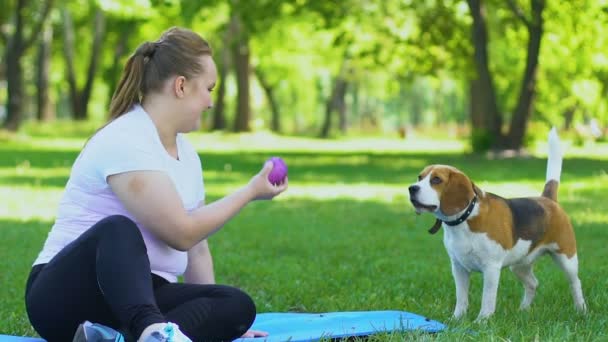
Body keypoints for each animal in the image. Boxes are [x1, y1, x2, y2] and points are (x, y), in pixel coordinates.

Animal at [408, 129, 584, 320]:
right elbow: (461, 298)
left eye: (436, 180)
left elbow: (487, 298)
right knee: (533, 283)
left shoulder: (491, 268)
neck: (464, 219)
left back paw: (581, 310)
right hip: (519, 265)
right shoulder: (458, 267)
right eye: (420, 177)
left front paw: (482, 320)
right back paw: (523, 310)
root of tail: (547, 200)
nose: (411, 188)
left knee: (575, 283)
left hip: (567, 259)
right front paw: (457, 319)